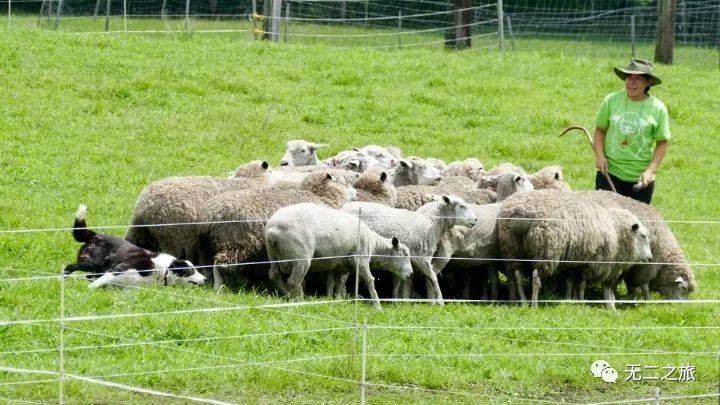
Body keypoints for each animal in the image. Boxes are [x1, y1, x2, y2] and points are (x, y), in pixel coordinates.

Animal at [197, 169, 354, 288]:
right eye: (346, 181)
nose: (356, 194)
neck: (323, 197)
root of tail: (211, 215)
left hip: (207, 245)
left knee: (207, 266)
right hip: (235, 242)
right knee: (220, 265)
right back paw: (219, 288)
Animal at [264, 202, 414, 310]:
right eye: (405, 254)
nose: (411, 274)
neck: (373, 244)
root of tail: (273, 230)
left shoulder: (340, 264)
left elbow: (339, 282)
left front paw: (337, 300)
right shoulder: (361, 259)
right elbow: (370, 280)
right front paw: (378, 306)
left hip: (273, 254)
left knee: (274, 275)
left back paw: (287, 294)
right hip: (301, 256)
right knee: (294, 281)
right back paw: (299, 301)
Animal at [342, 195, 478, 304]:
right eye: (462, 206)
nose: (476, 219)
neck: (432, 223)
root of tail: (344, 208)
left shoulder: (403, 260)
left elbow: (401, 280)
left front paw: (399, 301)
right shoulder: (421, 257)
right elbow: (432, 277)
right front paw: (440, 301)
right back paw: (342, 296)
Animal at [498, 189, 656, 310]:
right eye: (643, 235)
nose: (650, 258)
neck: (615, 229)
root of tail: (520, 217)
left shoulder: (578, 262)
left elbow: (575, 282)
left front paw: (573, 299)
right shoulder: (598, 263)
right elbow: (593, 284)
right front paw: (601, 304)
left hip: (514, 250)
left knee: (517, 275)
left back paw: (524, 301)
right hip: (545, 251)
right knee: (536, 278)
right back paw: (534, 304)